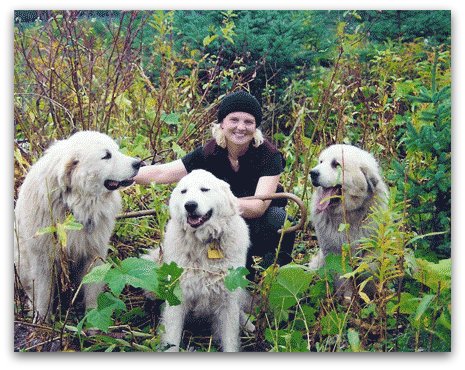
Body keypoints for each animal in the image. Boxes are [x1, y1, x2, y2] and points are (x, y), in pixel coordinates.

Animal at [14, 132, 141, 320]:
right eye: (106, 156)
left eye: (117, 150)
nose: (139, 163)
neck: (73, 204)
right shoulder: (43, 258)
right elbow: (43, 293)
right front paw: (41, 321)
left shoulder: (94, 253)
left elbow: (93, 287)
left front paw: (94, 315)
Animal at [148, 169, 250, 352]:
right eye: (184, 191)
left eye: (204, 189)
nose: (190, 205)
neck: (203, 243)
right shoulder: (177, 299)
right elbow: (172, 339)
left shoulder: (228, 301)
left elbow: (230, 340)